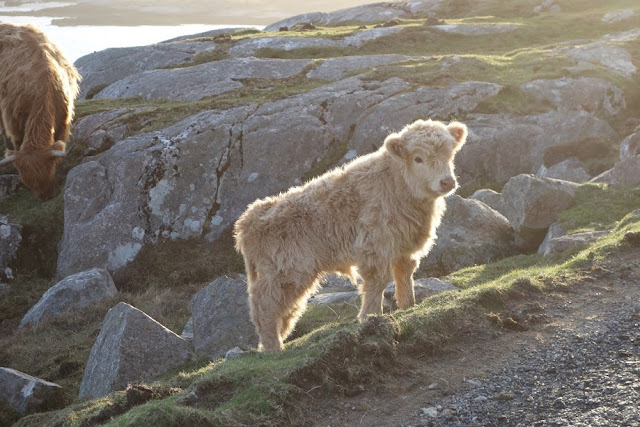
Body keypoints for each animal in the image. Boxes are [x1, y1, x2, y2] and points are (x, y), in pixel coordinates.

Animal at [232, 118, 468, 352]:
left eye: (449, 154)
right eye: (418, 158)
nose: (447, 182)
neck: (397, 185)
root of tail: (248, 220)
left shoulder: (405, 244)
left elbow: (404, 273)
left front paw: (408, 306)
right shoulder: (375, 242)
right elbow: (378, 280)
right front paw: (371, 316)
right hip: (288, 269)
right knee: (266, 305)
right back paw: (273, 346)